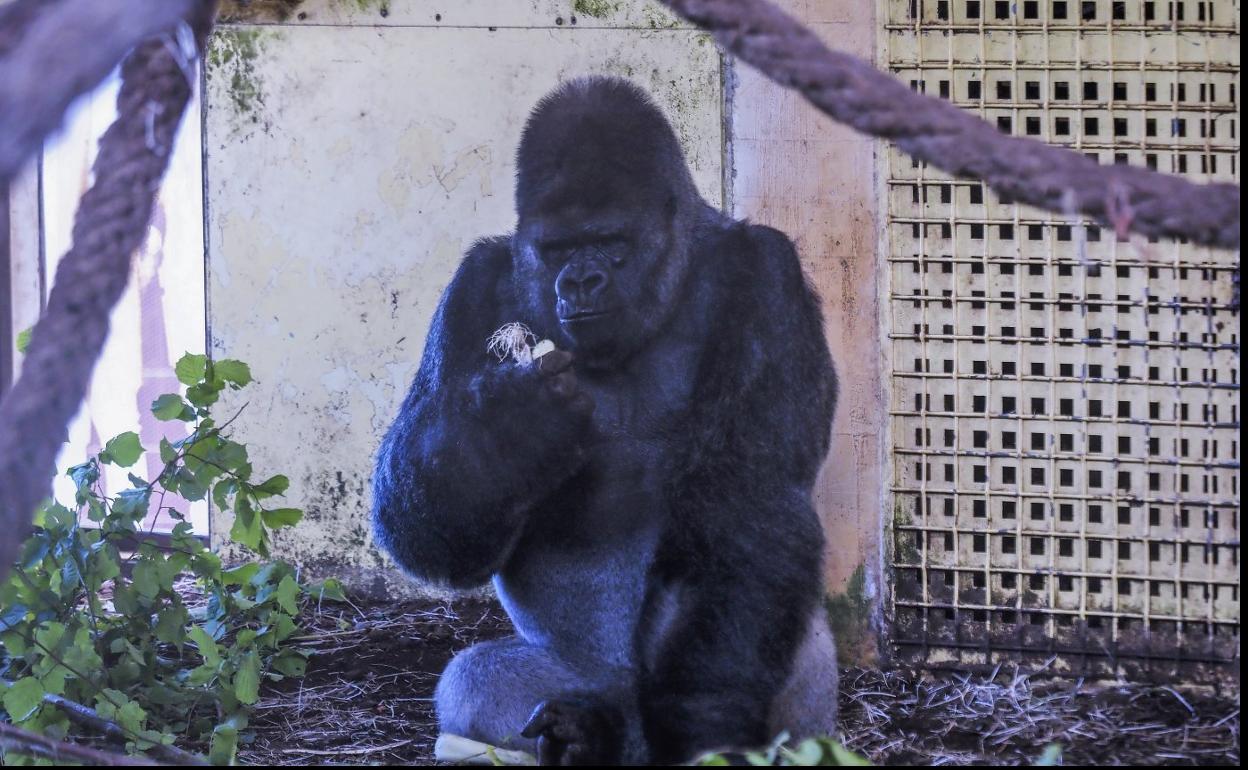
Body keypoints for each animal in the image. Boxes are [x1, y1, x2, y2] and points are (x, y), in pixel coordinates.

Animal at [369, 76, 838, 763]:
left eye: (611, 244)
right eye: (558, 248)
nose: (581, 281)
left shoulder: (768, 272)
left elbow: (750, 494)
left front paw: (708, 718)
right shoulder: (471, 286)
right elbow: (432, 534)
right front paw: (506, 438)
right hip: (585, 680)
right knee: (476, 681)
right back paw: (589, 734)